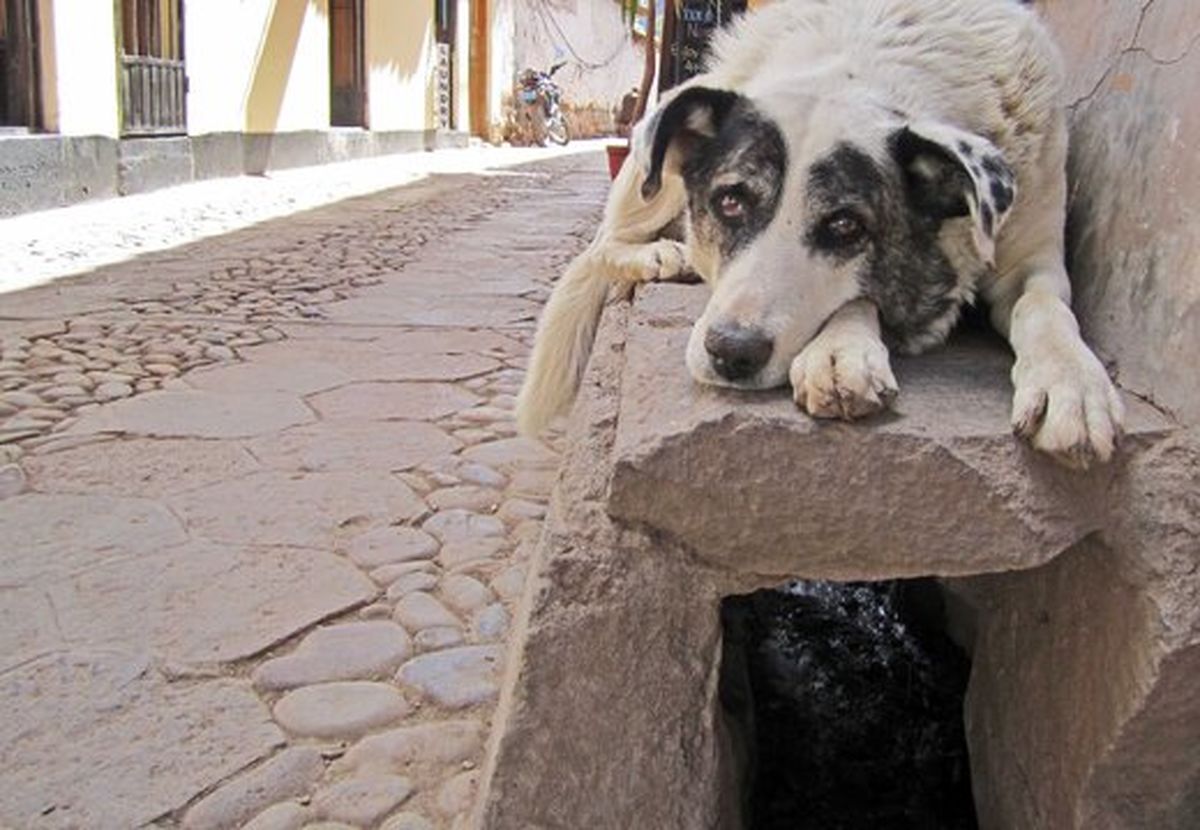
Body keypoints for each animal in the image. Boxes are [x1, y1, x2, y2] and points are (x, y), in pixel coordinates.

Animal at [516, 0, 1123, 470]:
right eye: (731, 201)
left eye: (845, 226)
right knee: (603, 244)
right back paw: (660, 255)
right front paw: (843, 351)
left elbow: (1042, 307)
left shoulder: (1032, 258)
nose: (731, 353)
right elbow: (860, 300)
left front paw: (1073, 386)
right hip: (656, 168)